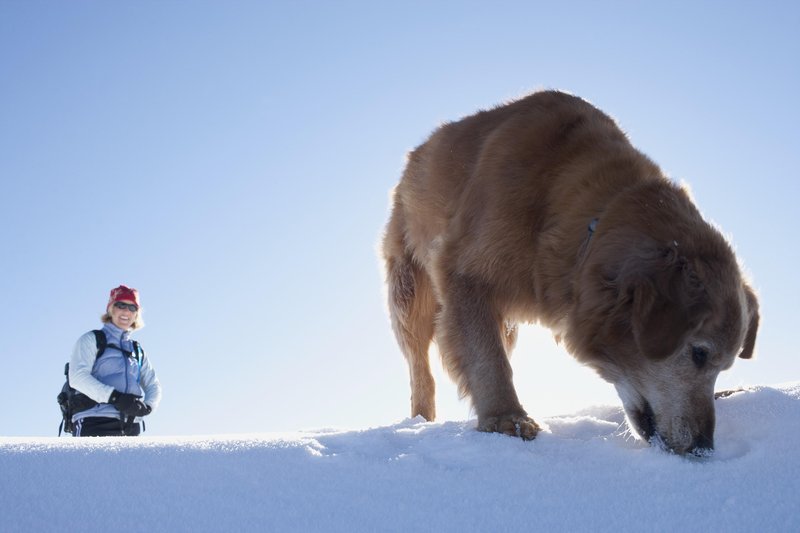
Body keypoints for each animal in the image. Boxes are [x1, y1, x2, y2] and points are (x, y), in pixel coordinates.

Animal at [384, 90, 760, 454]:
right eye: (699, 354)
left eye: (723, 367)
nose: (704, 448)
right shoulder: (464, 274)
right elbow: (486, 357)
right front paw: (506, 419)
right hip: (410, 294)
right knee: (420, 368)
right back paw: (419, 421)